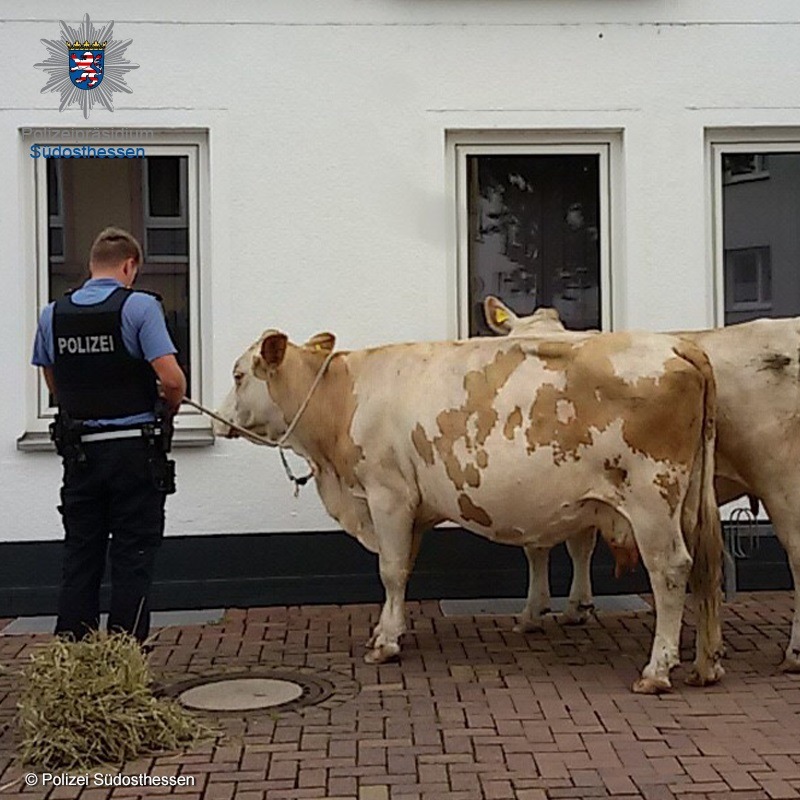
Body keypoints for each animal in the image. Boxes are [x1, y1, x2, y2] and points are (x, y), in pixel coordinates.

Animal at [217, 326, 724, 692]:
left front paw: (385, 645)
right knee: (705, 568)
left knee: (671, 570)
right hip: (688, 503)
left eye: (238, 375)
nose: (217, 420)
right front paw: (390, 629)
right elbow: (404, 569)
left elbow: (391, 570)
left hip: (652, 499)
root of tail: (678, 345)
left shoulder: (388, 494)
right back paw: (706, 666)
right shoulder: (413, 508)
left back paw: (657, 671)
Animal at [484, 294, 800, 676]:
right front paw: (577, 607)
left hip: (781, 482)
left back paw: (793, 653)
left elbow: (537, 547)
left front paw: (533, 613)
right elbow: (579, 545)